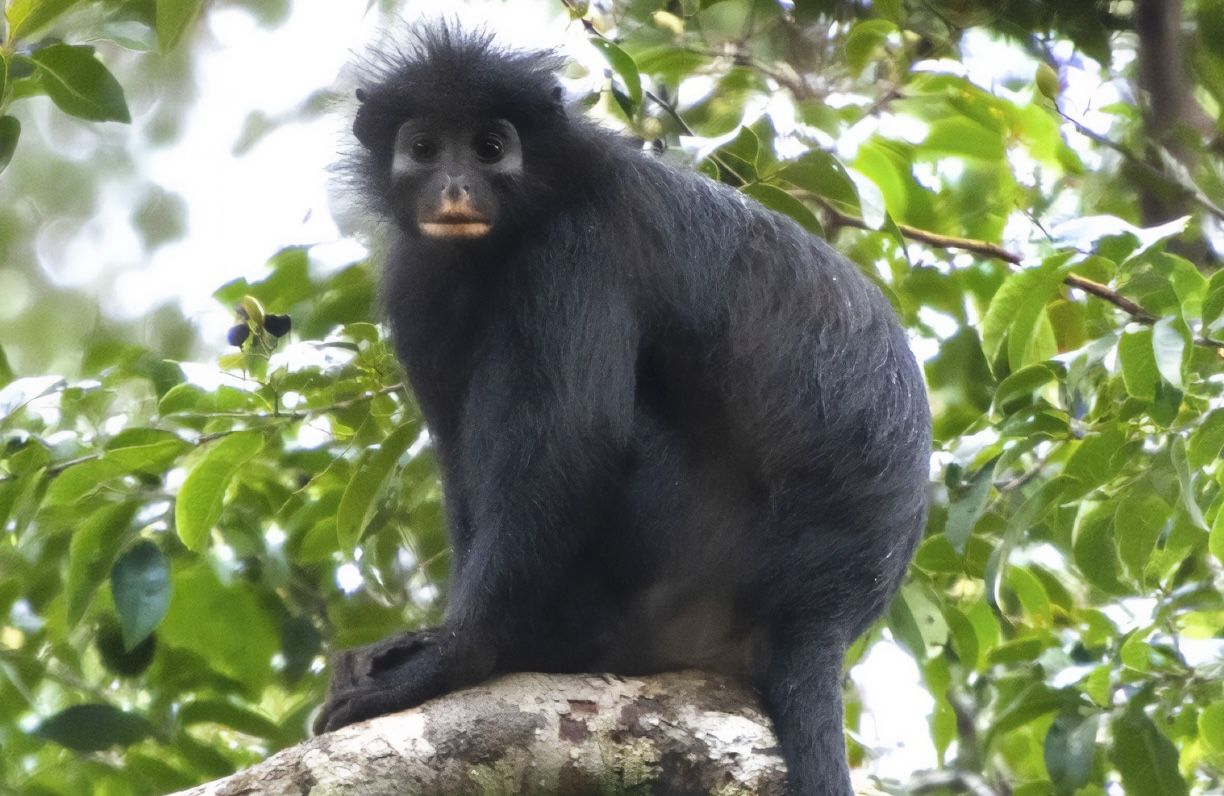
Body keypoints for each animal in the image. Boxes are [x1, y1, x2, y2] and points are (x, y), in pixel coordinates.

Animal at [314, 25, 931, 796]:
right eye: (425, 147)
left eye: (490, 147)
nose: (455, 185)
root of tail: (827, 611)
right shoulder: (416, 280)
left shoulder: (575, 247)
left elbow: (575, 442)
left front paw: (457, 656)